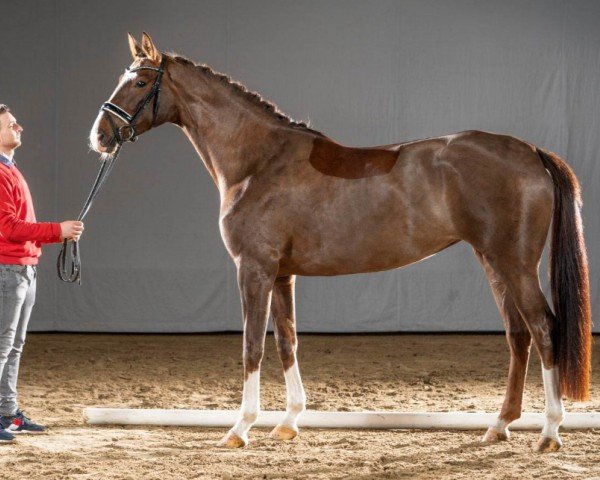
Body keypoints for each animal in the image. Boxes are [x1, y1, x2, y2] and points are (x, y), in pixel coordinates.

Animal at [89, 32, 592, 450]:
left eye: (139, 82)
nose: (99, 136)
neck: (258, 162)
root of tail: (532, 152)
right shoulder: (282, 275)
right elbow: (286, 341)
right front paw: (288, 422)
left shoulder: (253, 269)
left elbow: (252, 345)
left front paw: (240, 428)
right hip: (492, 260)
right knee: (517, 335)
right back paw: (499, 426)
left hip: (515, 263)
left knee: (544, 329)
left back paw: (549, 433)